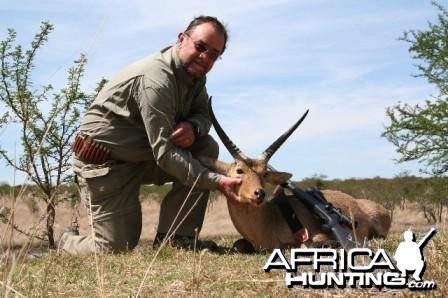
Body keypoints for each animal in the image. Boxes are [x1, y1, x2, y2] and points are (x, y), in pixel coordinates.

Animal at [201, 99, 390, 251]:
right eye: (239, 170)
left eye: (264, 173)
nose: (259, 193)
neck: (270, 220)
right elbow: (238, 244)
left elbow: (306, 244)